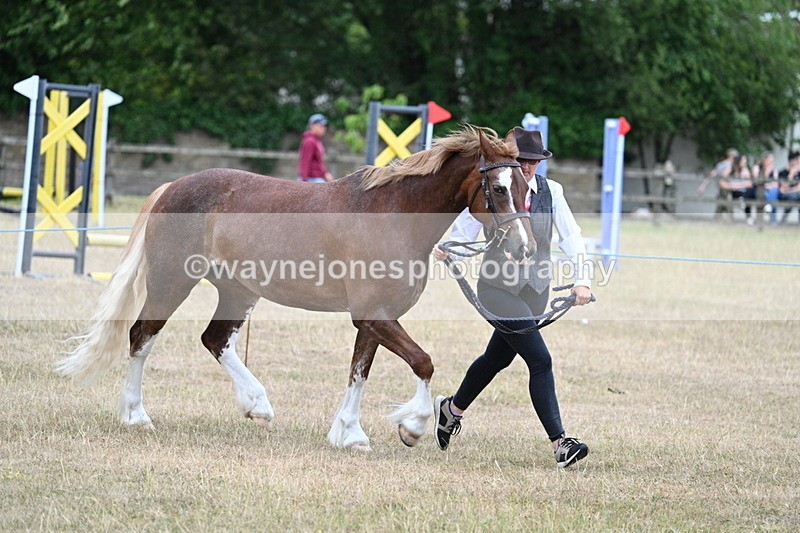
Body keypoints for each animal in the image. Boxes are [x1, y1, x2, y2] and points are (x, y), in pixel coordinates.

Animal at [56, 126, 535, 451]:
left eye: (528, 188)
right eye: (498, 188)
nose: (524, 247)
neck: (394, 214)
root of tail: (173, 186)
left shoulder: (375, 319)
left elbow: (359, 372)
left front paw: (349, 434)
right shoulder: (374, 316)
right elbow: (423, 362)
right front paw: (412, 427)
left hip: (237, 291)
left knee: (214, 339)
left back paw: (257, 405)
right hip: (171, 281)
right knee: (142, 337)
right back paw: (136, 415)